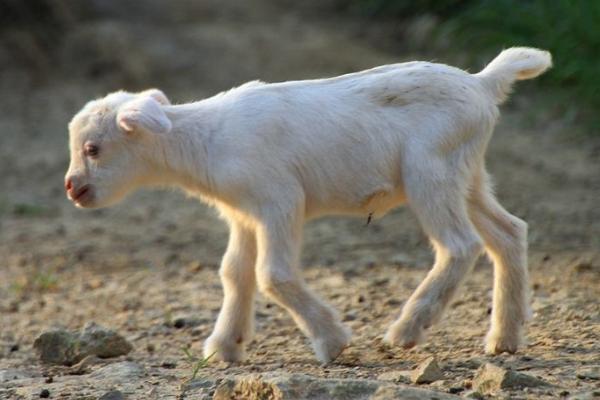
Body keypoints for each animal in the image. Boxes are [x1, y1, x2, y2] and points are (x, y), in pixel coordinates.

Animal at [67, 47, 552, 362]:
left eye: (93, 148)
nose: (72, 188)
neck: (204, 142)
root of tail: (482, 83)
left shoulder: (279, 200)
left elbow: (272, 275)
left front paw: (333, 341)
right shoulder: (244, 215)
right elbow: (235, 273)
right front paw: (224, 346)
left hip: (429, 171)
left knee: (459, 245)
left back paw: (406, 330)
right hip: (466, 174)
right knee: (509, 232)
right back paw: (505, 337)